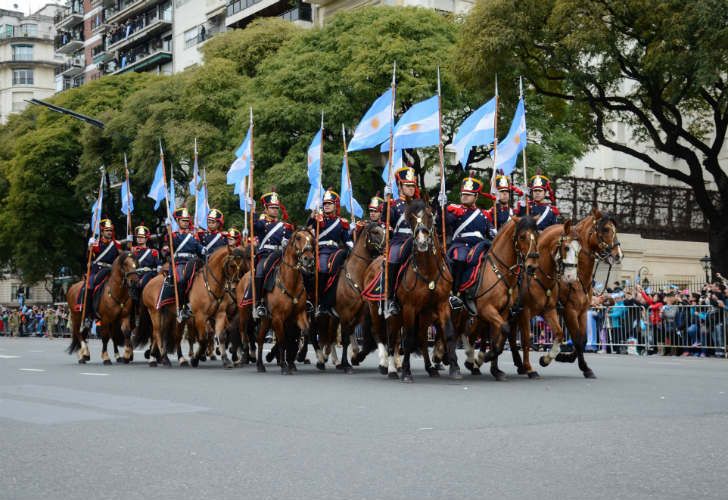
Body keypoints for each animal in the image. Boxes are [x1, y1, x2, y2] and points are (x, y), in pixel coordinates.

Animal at [239, 229, 316, 374]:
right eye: (298, 238)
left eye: (312, 239)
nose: (308, 259)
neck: (290, 282)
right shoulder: (278, 317)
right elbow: (282, 340)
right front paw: (285, 366)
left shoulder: (298, 314)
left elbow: (304, 333)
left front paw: (297, 357)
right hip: (245, 315)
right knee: (248, 335)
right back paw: (250, 360)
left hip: (266, 319)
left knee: (260, 338)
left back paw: (261, 363)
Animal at [460, 217, 540, 380]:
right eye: (522, 236)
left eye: (537, 235)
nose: (532, 267)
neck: (500, 272)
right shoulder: (487, 310)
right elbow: (505, 330)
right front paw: (483, 358)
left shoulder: (504, 312)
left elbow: (499, 337)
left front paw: (494, 368)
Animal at [506, 221, 580, 376]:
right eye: (566, 247)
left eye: (580, 249)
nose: (571, 277)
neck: (538, 276)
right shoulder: (524, 312)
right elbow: (526, 340)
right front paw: (529, 368)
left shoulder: (549, 310)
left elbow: (559, 333)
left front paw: (545, 359)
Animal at [548, 206, 624, 376]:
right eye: (606, 229)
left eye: (615, 229)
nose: (618, 255)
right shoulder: (569, 310)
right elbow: (576, 338)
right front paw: (581, 365)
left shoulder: (582, 311)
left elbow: (582, 339)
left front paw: (567, 357)